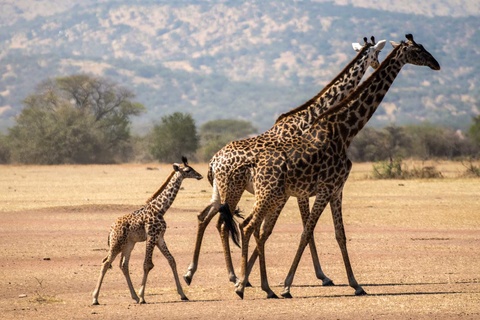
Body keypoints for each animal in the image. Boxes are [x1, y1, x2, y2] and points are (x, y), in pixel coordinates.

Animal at [92, 158, 208, 304]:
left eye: (192, 168)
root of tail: (111, 229)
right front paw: (142, 296)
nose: (200, 176)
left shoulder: (160, 238)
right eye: (188, 170)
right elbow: (147, 264)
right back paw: (95, 298)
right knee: (106, 263)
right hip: (116, 244)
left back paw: (134, 296)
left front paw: (183, 294)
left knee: (123, 265)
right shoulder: (151, 236)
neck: (161, 209)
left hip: (129, 245)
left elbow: (172, 260)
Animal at [184, 36, 386, 286]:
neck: (310, 116)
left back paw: (192, 272)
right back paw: (232, 275)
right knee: (221, 223)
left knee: (204, 217)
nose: (377, 65)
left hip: (219, 192)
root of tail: (213, 162)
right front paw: (321, 276)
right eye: (376, 54)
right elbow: (303, 225)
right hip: (232, 191)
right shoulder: (301, 187)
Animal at [231, 33, 440, 298]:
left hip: (271, 195)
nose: (436, 64)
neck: (343, 131)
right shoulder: (322, 189)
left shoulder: (336, 189)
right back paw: (241, 283)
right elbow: (306, 231)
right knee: (246, 226)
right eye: (418, 50)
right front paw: (289, 284)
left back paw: (248, 281)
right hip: (266, 194)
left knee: (247, 225)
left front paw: (355, 284)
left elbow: (340, 234)